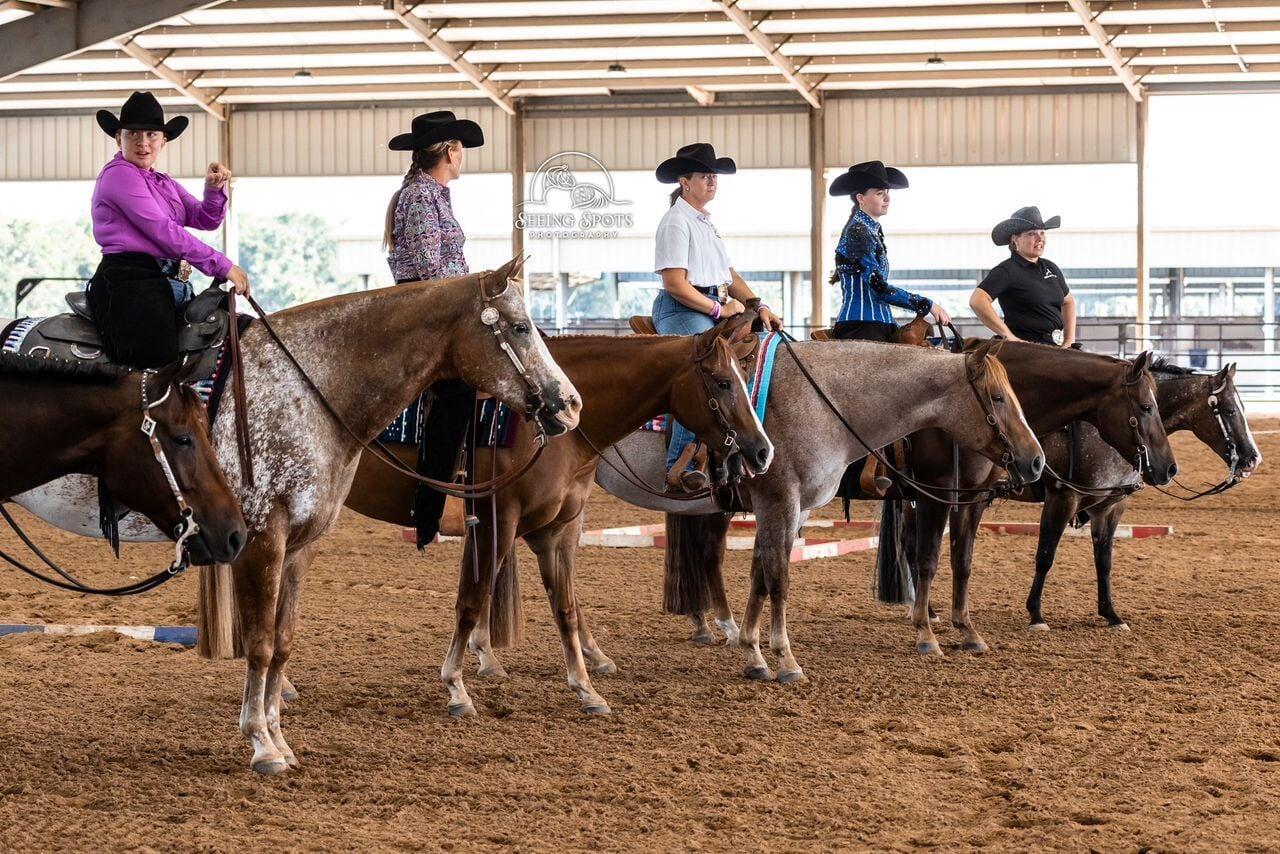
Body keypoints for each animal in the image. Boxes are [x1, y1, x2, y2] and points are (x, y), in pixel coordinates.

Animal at [339, 313, 773, 717]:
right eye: (723, 382)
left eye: (742, 376)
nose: (762, 451)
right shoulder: (496, 522)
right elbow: (471, 599)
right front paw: (456, 687)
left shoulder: (557, 529)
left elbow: (564, 606)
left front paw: (586, 689)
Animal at [580, 337, 1046, 683]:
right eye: (998, 398)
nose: (1036, 460)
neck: (822, 404)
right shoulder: (782, 502)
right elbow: (779, 578)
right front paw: (785, 660)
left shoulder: (794, 509)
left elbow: (761, 574)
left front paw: (754, 653)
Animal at [658, 343, 1180, 658]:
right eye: (1146, 406)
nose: (1166, 467)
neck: (936, 416)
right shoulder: (938, 496)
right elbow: (928, 560)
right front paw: (928, 633)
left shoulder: (972, 500)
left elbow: (962, 562)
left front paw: (964, 628)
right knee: (706, 553)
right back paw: (716, 625)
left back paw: (712, 624)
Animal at [1015, 359, 1260, 631]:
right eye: (1229, 410)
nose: (1253, 458)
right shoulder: (1062, 498)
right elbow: (1045, 556)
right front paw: (1036, 615)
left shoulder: (1110, 506)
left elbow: (1104, 561)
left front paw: (1111, 615)